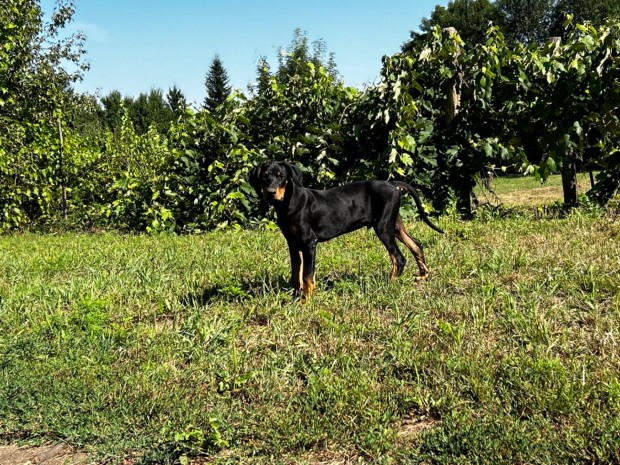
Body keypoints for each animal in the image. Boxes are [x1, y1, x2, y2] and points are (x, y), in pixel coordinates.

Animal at [249, 161, 444, 302]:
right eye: (265, 177)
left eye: (281, 176)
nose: (271, 192)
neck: (288, 203)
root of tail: (391, 184)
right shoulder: (293, 244)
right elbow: (296, 275)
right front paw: (296, 298)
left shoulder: (309, 243)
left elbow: (307, 276)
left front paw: (306, 301)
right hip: (394, 225)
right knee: (416, 245)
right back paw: (422, 276)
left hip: (383, 228)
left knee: (399, 257)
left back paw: (389, 284)